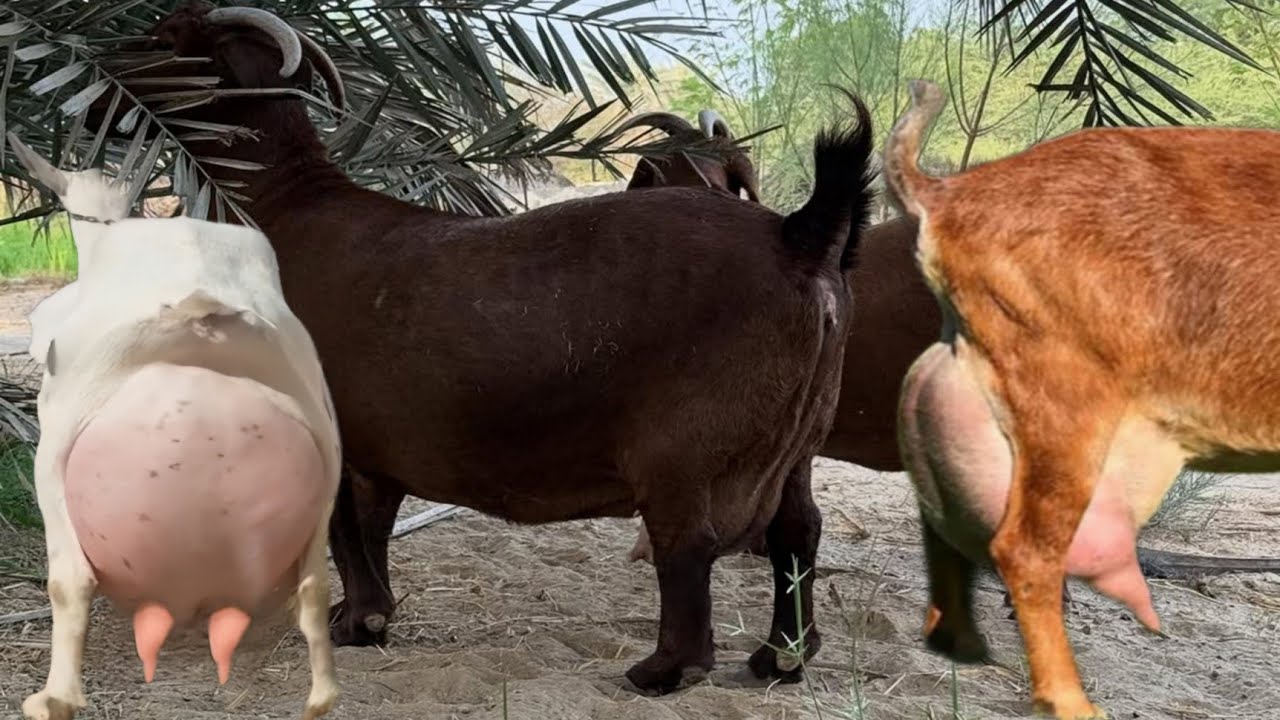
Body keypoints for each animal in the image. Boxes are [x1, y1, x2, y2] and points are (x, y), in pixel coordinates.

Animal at [9, 133, 342, 720]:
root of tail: (199, 314)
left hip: (54, 466)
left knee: (70, 584)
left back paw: (51, 698)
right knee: (314, 593)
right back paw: (318, 696)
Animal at [101, 1, 876, 694]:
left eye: (164, 37)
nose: (98, 70)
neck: (287, 203)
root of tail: (800, 236)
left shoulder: (337, 433)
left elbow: (346, 530)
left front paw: (355, 623)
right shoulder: (380, 451)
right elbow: (371, 528)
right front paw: (368, 616)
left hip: (683, 451)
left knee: (687, 547)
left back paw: (664, 670)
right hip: (797, 444)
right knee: (797, 532)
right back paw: (781, 657)